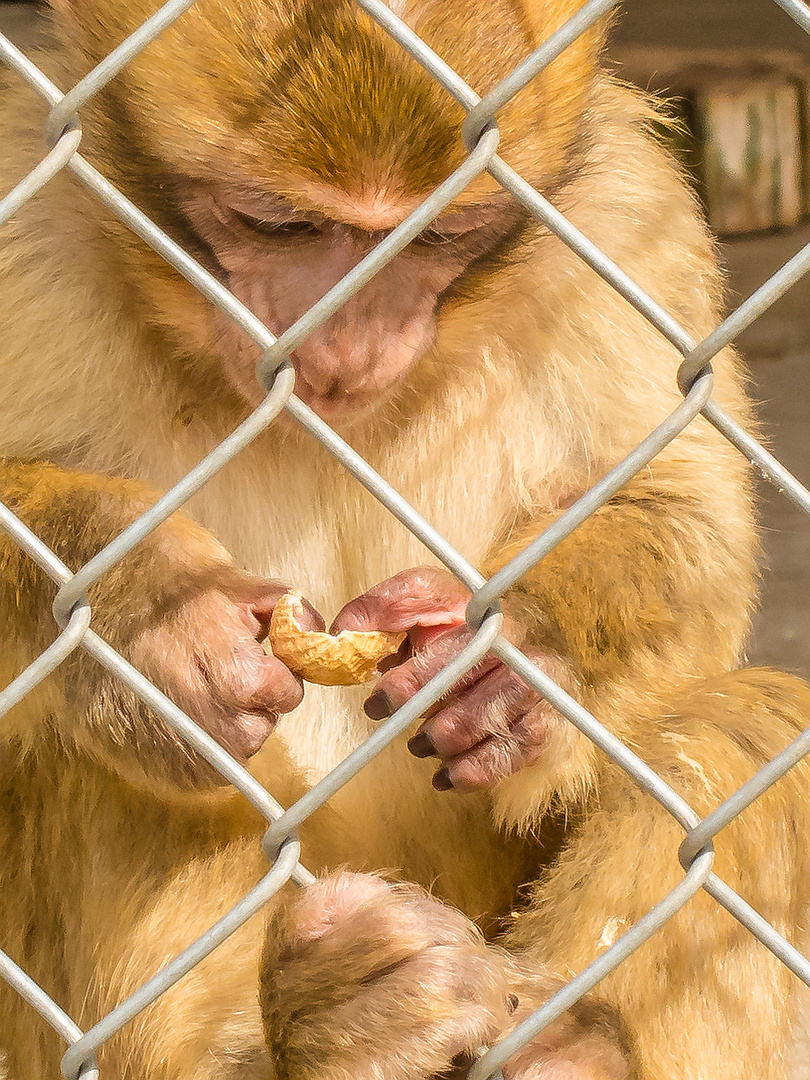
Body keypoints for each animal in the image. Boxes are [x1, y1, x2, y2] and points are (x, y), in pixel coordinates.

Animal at [1, 0, 810, 1075]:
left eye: (439, 235)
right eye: (277, 224)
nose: (346, 343)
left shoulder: (626, 213)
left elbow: (686, 505)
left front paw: (514, 665)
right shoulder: (25, 212)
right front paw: (150, 621)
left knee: (751, 731)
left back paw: (550, 1047)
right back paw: (336, 1021)